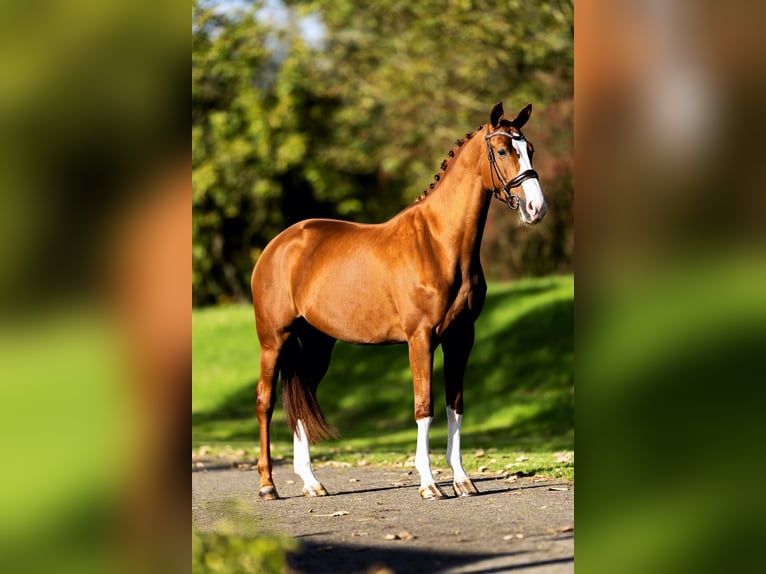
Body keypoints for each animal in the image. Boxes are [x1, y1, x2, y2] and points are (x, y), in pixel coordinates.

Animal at [252, 104, 544, 504]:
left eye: (529, 148)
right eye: (501, 150)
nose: (536, 208)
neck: (439, 244)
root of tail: (278, 245)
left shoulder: (461, 338)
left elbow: (455, 406)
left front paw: (462, 480)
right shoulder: (420, 338)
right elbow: (425, 407)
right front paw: (429, 484)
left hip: (317, 343)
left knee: (302, 397)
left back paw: (311, 482)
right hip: (274, 339)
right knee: (265, 402)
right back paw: (268, 485)